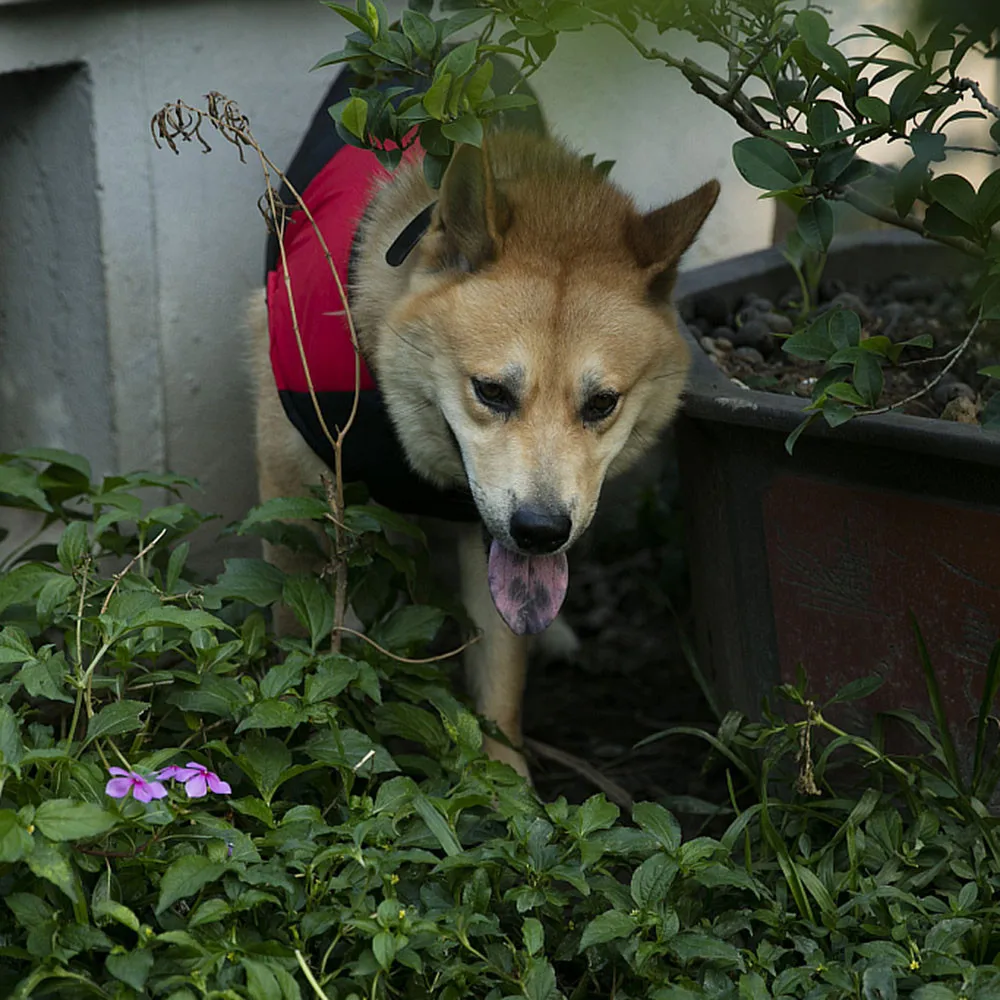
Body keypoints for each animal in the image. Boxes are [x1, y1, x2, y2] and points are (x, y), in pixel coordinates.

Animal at [249, 66, 720, 776]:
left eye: (601, 404)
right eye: (491, 391)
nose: (542, 532)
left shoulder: (489, 535)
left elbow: (499, 685)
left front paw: (506, 783)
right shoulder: (294, 492)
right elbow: (307, 643)